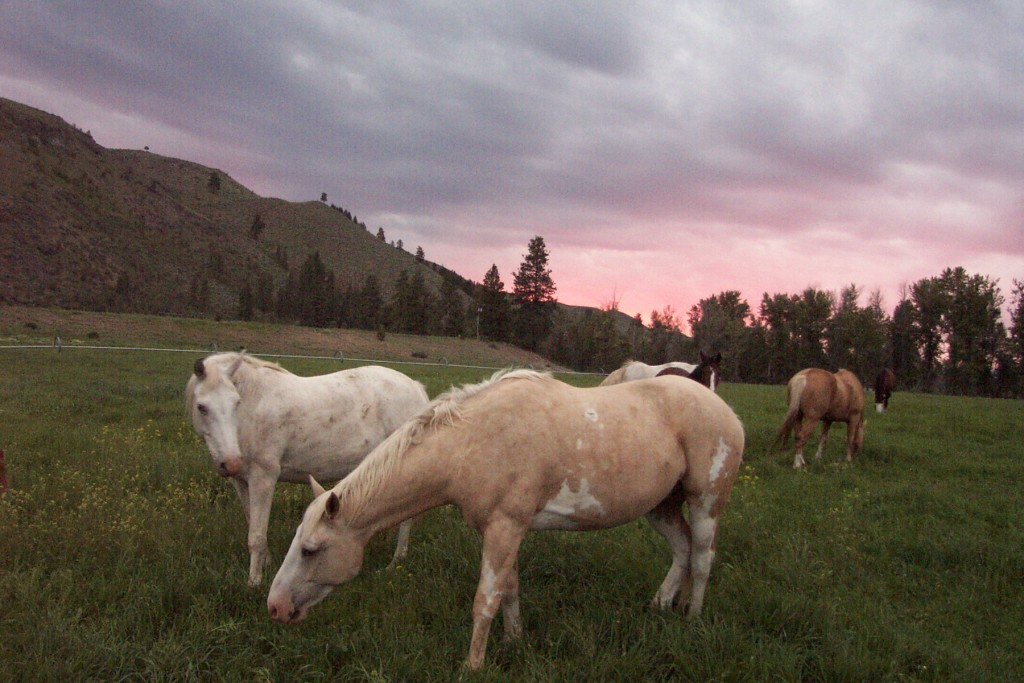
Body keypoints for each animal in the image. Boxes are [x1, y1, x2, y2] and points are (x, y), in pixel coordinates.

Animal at [185, 352, 429, 585]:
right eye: (202, 407)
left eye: (236, 403)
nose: (230, 462)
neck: (254, 405)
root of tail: (415, 388)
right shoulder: (241, 481)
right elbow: (252, 522)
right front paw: (266, 564)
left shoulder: (263, 478)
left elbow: (256, 535)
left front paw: (254, 581)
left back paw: (396, 560)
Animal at [267, 369, 745, 670]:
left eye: (310, 549)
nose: (274, 607)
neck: (471, 442)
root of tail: (727, 411)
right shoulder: (508, 530)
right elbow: (510, 590)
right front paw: (515, 641)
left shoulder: (504, 527)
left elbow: (486, 599)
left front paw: (473, 664)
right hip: (661, 507)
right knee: (682, 550)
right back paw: (661, 605)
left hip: (706, 502)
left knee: (702, 557)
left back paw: (692, 617)